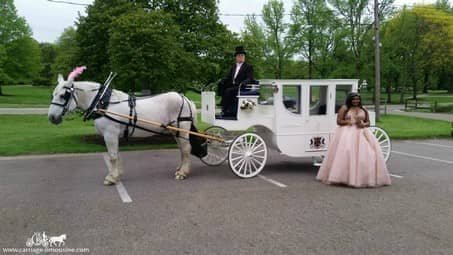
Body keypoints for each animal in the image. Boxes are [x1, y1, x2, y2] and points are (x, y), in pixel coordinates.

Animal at [47, 66, 196, 184]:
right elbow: (116, 155)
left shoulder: (110, 134)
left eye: (63, 95)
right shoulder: (113, 136)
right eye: (53, 94)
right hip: (175, 131)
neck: (103, 104)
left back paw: (182, 173)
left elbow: (113, 156)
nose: (52, 117)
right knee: (182, 149)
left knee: (186, 148)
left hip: (182, 128)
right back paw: (180, 169)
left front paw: (111, 178)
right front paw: (117, 175)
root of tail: (185, 99)